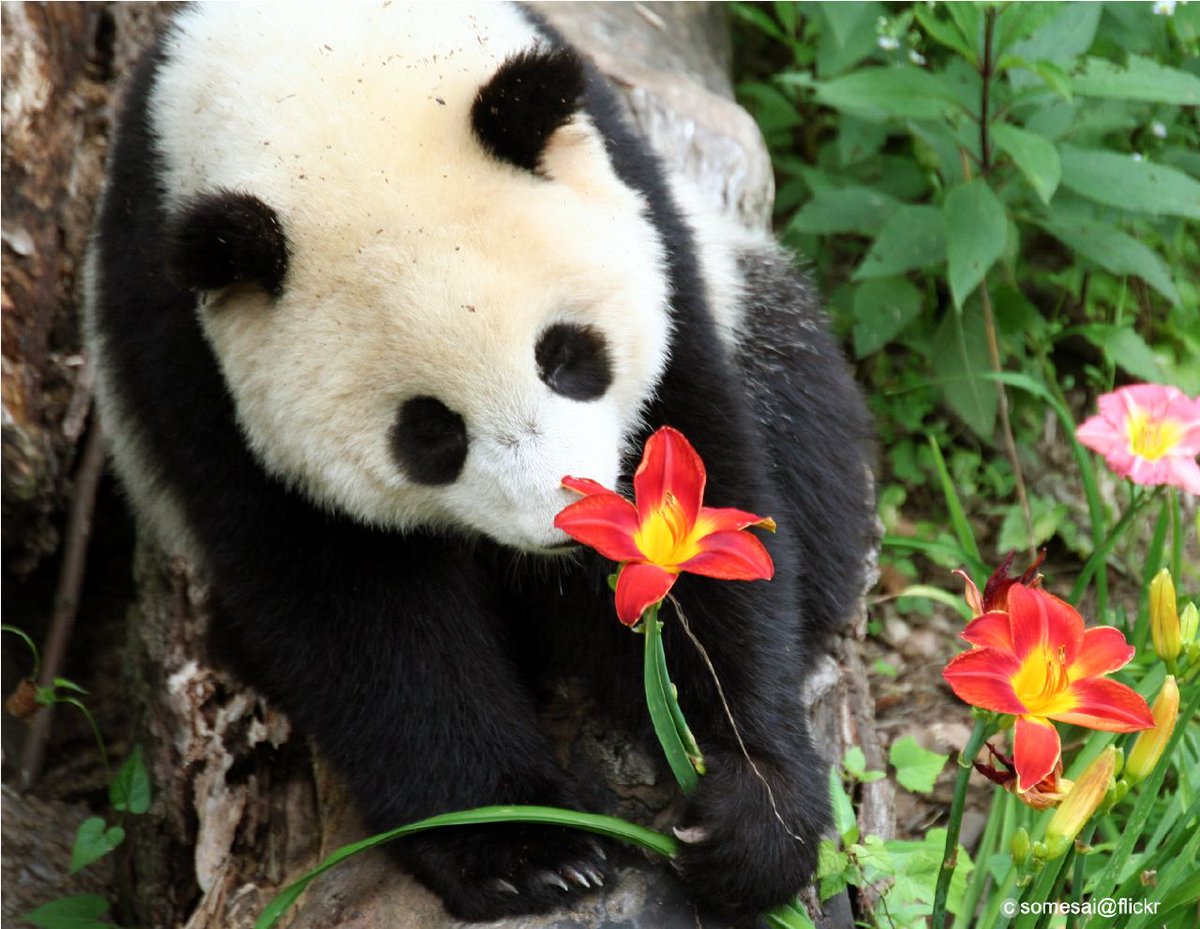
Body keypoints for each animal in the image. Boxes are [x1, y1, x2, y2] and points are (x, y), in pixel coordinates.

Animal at [84, 2, 873, 922]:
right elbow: (355, 611)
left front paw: (748, 805)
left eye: (566, 356)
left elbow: (703, 472)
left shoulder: (647, 217)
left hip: (747, 285)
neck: (320, 62)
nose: (570, 522)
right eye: (429, 432)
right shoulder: (188, 357)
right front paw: (526, 848)